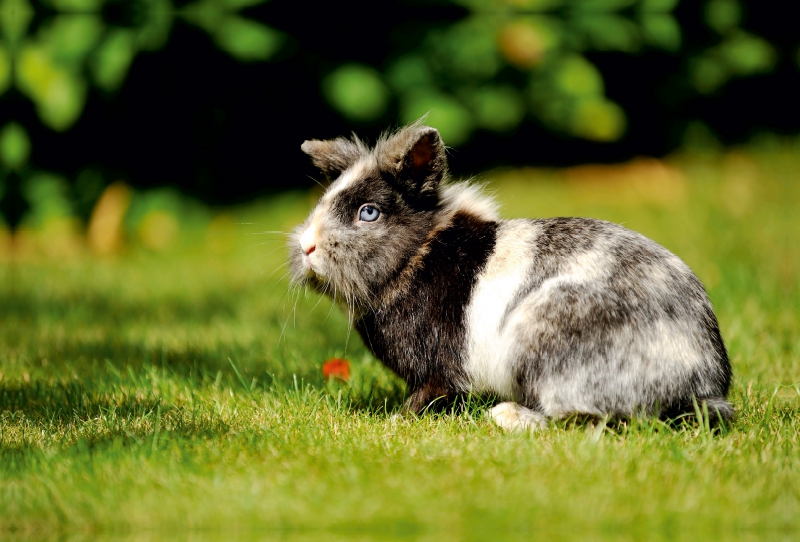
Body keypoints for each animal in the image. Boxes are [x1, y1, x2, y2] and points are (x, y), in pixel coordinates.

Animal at [290, 121, 736, 432]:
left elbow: (427, 395)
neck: (418, 254)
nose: (307, 246)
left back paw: (507, 416)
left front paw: (397, 421)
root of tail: (700, 384)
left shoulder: (436, 370)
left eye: (369, 212)